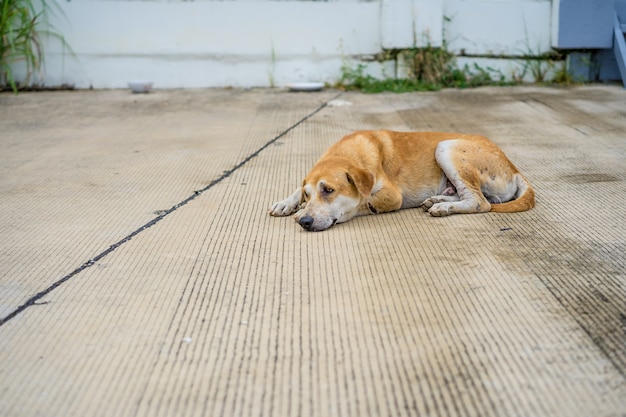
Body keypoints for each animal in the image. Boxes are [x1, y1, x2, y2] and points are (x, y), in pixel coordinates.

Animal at [266, 130, 532, 231]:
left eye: (329, 190)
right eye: (308, 194)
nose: (306, 222)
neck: (346, 154)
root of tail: (513, 167)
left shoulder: (392, 196)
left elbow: (360, 203)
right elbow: (297, 189)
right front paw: (288, 203)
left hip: (446, 147)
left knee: (480, 202)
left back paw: (444, 207)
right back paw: (438, 199)